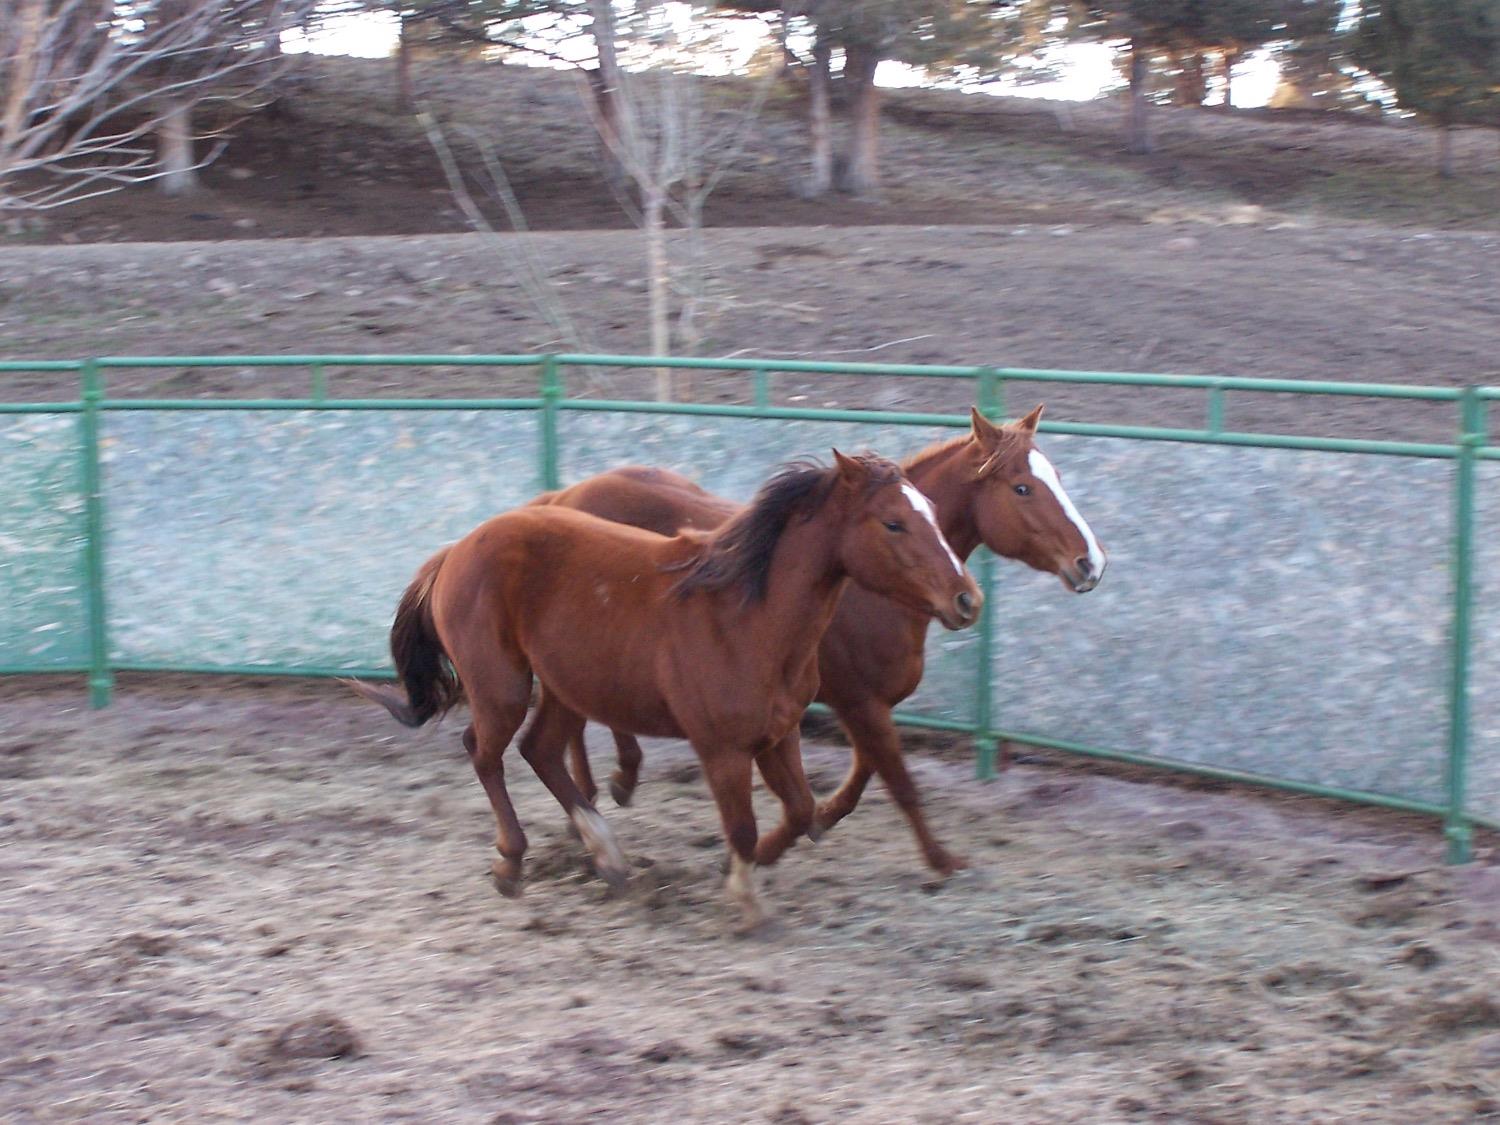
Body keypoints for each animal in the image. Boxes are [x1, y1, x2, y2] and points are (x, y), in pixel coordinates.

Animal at [352, 450, 984, 924]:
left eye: (931, 511)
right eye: (893, 522)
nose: (967, 598)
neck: (749, 615)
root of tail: (455, 550)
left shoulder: (779, 734)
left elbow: (803, 809)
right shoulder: (722, 748)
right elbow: (743, 826)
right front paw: (745, 903)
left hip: (566, 687)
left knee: (541, 751)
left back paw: (608, 858)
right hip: (502, 686)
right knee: (485, 754)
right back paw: (512, 863)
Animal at [537, 405, 1104, 882]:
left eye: (1055, 478)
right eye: (1023, 488)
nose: (1091, 563)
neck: (867, 589)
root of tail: (561, 500)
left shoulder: (865, 704)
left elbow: (859, 778)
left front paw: (814, 824)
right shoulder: (859, 700)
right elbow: (898, 782)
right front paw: (941, 861)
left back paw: (608, 791)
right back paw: (601, 796)